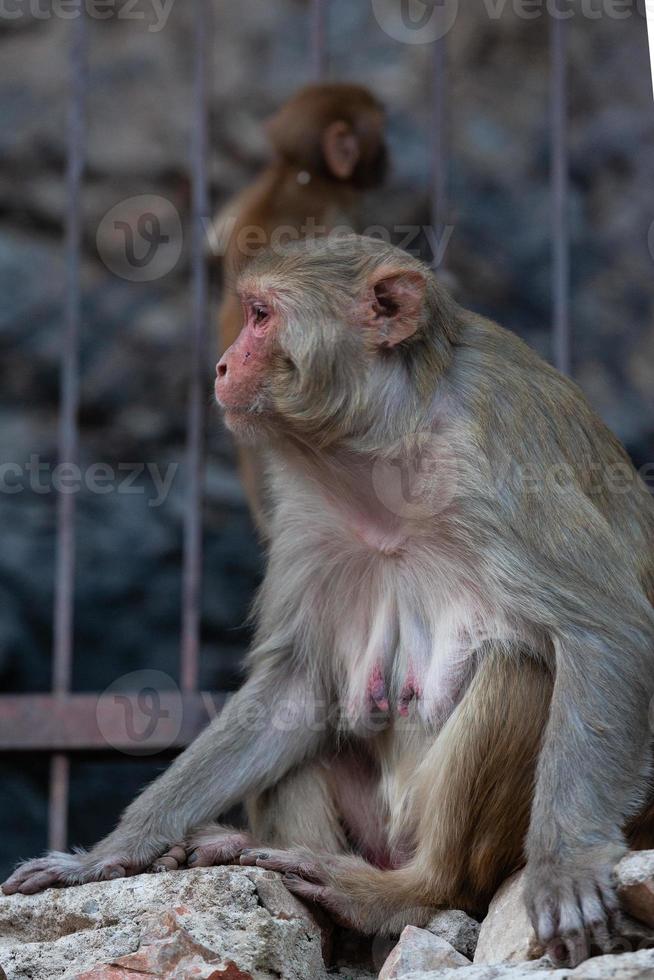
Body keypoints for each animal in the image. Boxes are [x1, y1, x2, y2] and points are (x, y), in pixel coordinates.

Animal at [5, 235, 654, 964]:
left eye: (260, 316)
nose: (222, 365)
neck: (388, 441)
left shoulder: (501, 457)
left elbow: (606, 633)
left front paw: (565, 866)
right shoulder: (306, 506)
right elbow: (295, 690)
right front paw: (109, 855)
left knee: (519, 670)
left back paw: (405, 891)